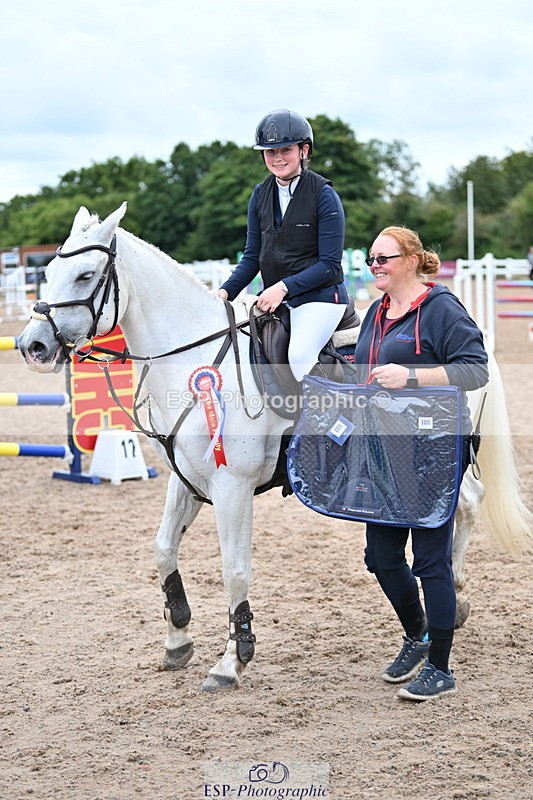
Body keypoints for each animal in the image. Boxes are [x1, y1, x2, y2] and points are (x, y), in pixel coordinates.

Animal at [17, 203, 532, 690]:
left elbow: (235, 569)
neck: (195, 358)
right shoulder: (187, 480)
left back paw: (455, 597)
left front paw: (232, 660)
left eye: (85, 275)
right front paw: (178, 638)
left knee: (465, 505)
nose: (32, 345)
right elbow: (163, 549)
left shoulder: (232, 487)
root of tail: (473, 344)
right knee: (465, 504)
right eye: (49, 271)